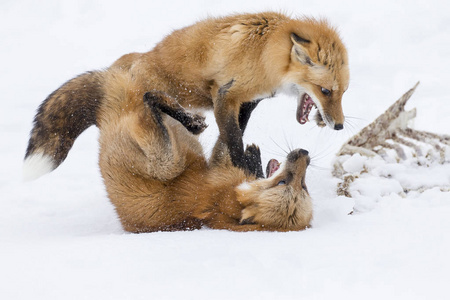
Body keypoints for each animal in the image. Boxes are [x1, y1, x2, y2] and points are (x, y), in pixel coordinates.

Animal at [22, 11, 350, 179]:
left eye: (343, 92)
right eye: (325, 91)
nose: (339, 126)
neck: (266, 53)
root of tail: (128, 62)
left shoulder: (247, 100)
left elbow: (236, 131)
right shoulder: (225, 95)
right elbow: (233, 141)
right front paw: (246, 170)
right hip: (165, 90)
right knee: (152, 98)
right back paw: (191, 123)